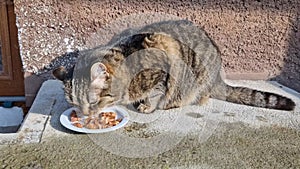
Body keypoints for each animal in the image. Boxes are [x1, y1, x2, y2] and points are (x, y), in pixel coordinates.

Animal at [52, 19, 296, 115]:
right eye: (74, 103)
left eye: (92, 102)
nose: (84, 114)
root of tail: (219, 78)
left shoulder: (162, 73)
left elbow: (155, 93)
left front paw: (146, 106)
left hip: (197, 77)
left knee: (198, 96)